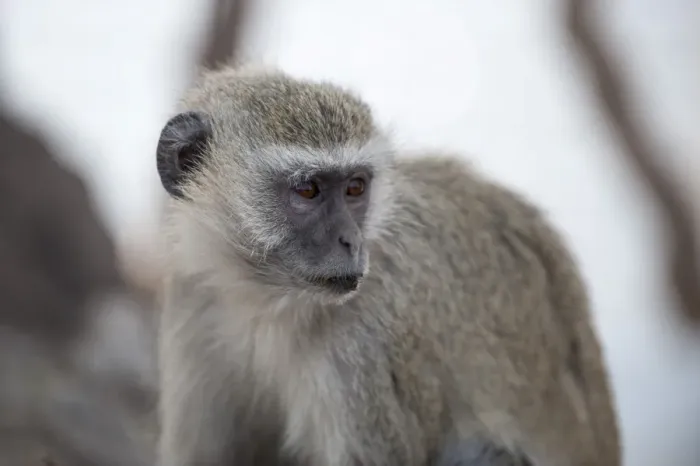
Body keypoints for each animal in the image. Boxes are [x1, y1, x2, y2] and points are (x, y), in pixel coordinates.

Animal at [155, 65, 622, 466]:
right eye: (308, 190)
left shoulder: (369, 339)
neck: (267, 303)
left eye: (355, 188)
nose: (350, 241)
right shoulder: (197, 300)